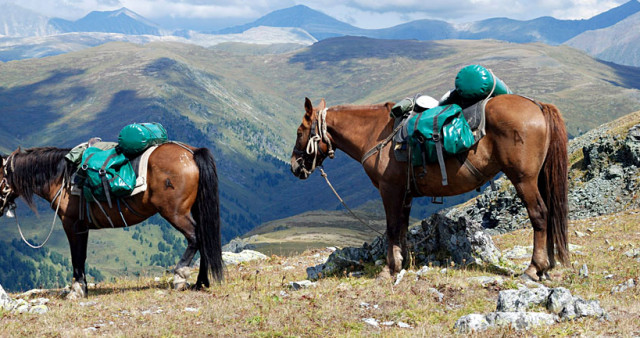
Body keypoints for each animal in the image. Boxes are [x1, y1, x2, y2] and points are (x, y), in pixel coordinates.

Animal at [0, 143, 224, 298]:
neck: (62, 178)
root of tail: (191, 152)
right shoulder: (82, 227)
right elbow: (81, 256)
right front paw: (83, 288)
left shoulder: (71, 224)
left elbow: (76, 257)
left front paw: (76, 290)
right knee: (204, 237)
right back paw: (201, 282)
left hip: (175, 212)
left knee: (196, 238)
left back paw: (181, 277)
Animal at [292, 94, 568, 280]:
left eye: (299, 131)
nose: (295, 166)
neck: (374, 133)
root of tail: (537, 105)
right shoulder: (405, 194)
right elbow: (402, 228)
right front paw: (401, 263)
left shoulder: (390, 190)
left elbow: (391, 228)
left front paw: (389, 269)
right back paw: (547, 266)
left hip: (523, 179)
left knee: (539, 215)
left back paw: (534, 268)